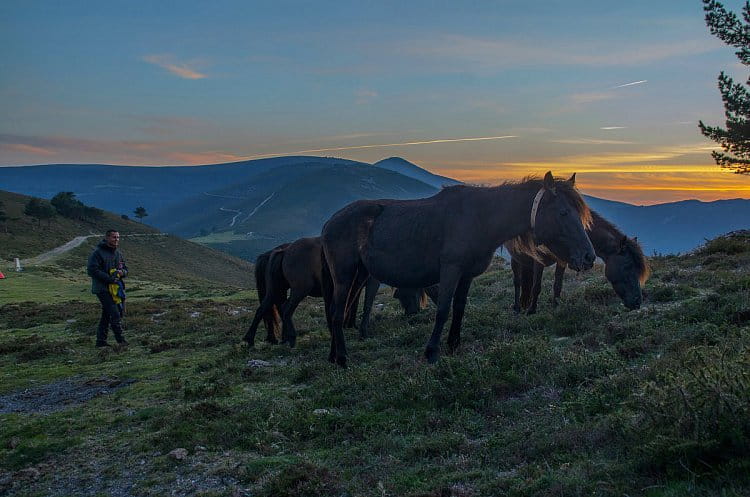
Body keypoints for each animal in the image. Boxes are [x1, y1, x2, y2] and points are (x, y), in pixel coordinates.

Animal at [324, 172, 600, 366]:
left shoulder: (466, 275)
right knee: (337, 315)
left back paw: (333, 355)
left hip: (359, 274)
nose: (588, 256)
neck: (479, 218)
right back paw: (342, 358)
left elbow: (459, 309)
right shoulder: (451, 270)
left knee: (337, 312)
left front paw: (454, 344)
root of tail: (330, 222)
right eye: (563, 213)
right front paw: (432, 351)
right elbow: (443, 310)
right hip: (344, 276)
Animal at [506, 209, 652, 314]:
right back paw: (517, 308)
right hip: (516, 260)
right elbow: (536, 286)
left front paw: (556, 307)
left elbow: (557, 286)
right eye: (628, 266)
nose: (637, 302)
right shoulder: (539, 261)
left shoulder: (561, 261)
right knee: (517, 282)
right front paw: (531, 311)